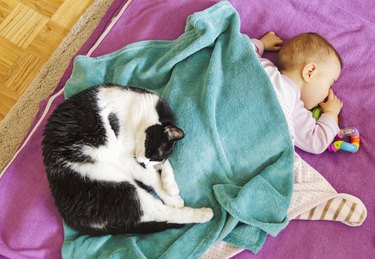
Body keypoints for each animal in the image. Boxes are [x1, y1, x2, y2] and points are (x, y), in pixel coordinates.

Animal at [42, 85, 213, 236]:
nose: (144, 163)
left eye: (156, 157)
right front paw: (173, 196)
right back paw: (202, 214)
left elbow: (163, 166)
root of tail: (68, 216)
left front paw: (170, 187)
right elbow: (151, 176)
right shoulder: (124, 157)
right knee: (161, 212)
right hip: (119, 188)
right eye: (152, 153)